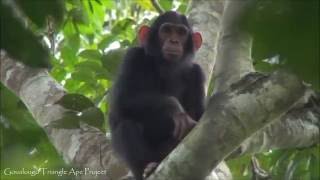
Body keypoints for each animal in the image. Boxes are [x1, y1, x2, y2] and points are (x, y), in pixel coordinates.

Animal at [109, 11, 205, 180]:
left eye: (181, 33)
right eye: (166, 30)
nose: (174, 41)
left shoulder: (197, 74)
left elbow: (198, 115)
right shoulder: (133, 57)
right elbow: (122, 100)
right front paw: (175, 109)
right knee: (126, 126)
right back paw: (147, 168)